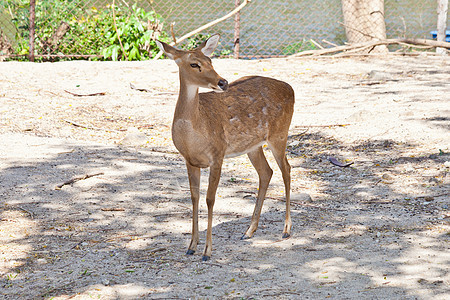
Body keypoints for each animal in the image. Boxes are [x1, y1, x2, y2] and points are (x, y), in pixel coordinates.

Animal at [156, 34, 294, 260]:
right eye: (194, 64)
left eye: (211, 60)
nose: (223, 82)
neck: (194, 134)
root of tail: (290, 88)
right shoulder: (189, 160)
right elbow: (194, 197)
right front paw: (191, 246)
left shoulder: (217, 154)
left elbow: (210, 199)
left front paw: (207, 251)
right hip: (253, 146)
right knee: (266, 172)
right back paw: (248, 231)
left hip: (279, 134)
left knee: (287, 170)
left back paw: (286, 229)